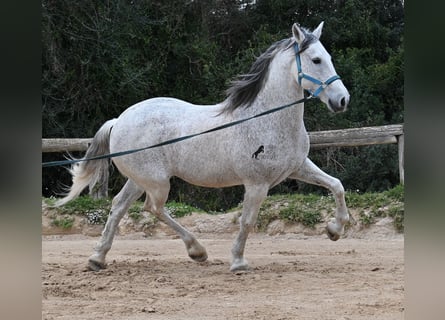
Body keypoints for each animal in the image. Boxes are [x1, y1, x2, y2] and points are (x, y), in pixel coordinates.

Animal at [56, 21, 346, 272]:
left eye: (329, 57)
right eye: (316, 60)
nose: (342, 100)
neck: (265, 118)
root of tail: (118, 120)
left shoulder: (298, 167)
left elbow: (336, 185)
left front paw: (335, 230)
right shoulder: (256, 183)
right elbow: (247, 220)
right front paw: (238, 262)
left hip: (140, 180)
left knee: (119, 206)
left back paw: (97, 258)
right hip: (157, 182)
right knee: (153, 208)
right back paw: (197, 250)